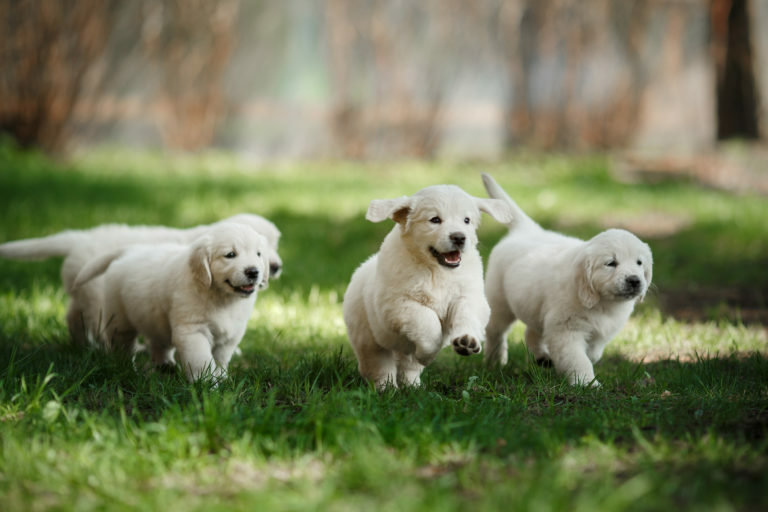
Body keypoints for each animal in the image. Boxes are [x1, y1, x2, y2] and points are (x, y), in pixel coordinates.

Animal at [0, 213, 282, 344]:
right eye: (263, 248)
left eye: (274, 244)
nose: (276, 267)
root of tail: (80, 239)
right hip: (97, 295)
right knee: (96, 322)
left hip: (82, 290)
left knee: (73, 315)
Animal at [73, 222, 270, 382]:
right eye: (230, 255)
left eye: (259, 254)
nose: (253, 272)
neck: (222, 297)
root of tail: (130, 251)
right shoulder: (193, 331)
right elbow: (202, 360)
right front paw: (206, 384)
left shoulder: (231, 335)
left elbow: (220, 358)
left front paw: (222, 378)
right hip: (119, 320)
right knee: (122, 345)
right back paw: (126, 368)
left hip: (156, 319)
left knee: (159, 344)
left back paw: (165, 366)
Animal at [344, 183, 512, 388]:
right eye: (435, 220)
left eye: (466, 220)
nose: (459, 237)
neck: (436, 270)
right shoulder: (396, 305)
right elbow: (427, 320)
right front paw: (429, 354)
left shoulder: (469, 296)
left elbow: (467, 315)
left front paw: (467, 341)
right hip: (369, 338)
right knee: (379, 366)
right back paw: (387, 388)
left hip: (402, 350)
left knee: (408, 366)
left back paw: (413, 386)